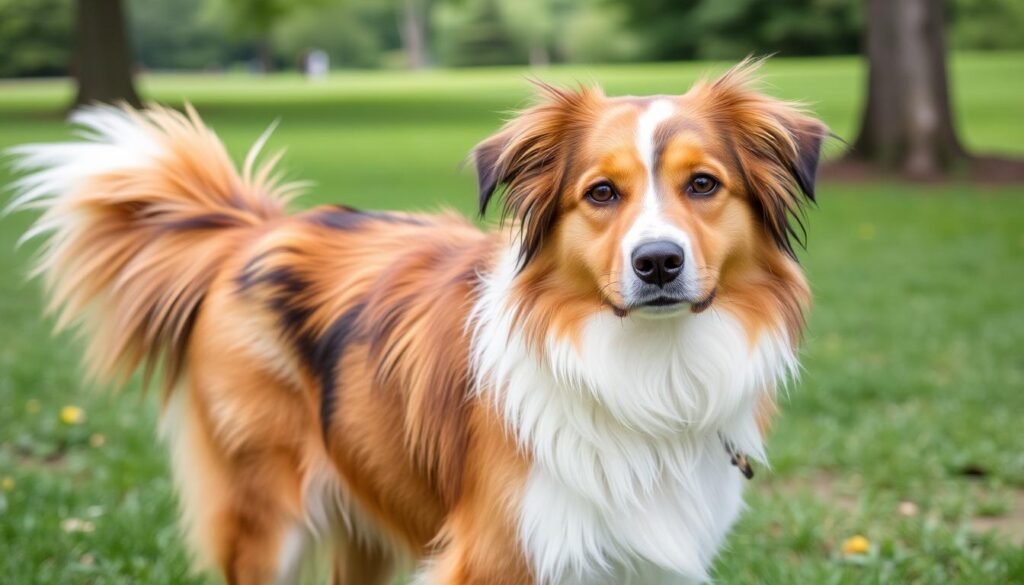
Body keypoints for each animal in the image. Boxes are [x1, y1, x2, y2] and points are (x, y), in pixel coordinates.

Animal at [8, 60, 823, 585]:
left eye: (703, 184)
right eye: (600, 193)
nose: (658, 261)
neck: (646, 367)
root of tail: (253, 229)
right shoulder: (494, 558)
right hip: (262, 512)